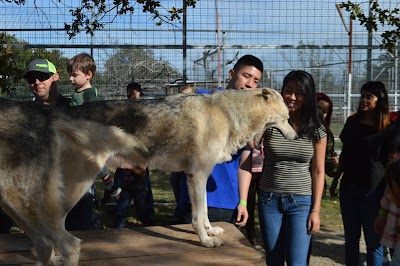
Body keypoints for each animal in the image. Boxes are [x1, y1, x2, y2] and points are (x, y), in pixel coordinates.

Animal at [0, 89, 294, 264]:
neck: (229, 114)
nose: (295, 135)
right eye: (288, 117)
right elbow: (198, 216)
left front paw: (211, 231)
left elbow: (205, 214)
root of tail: (53, 114)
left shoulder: (196, 177)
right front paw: (205, 241)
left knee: (50, 234)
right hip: (71, 188)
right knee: (61, 234)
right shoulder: (197, 175)